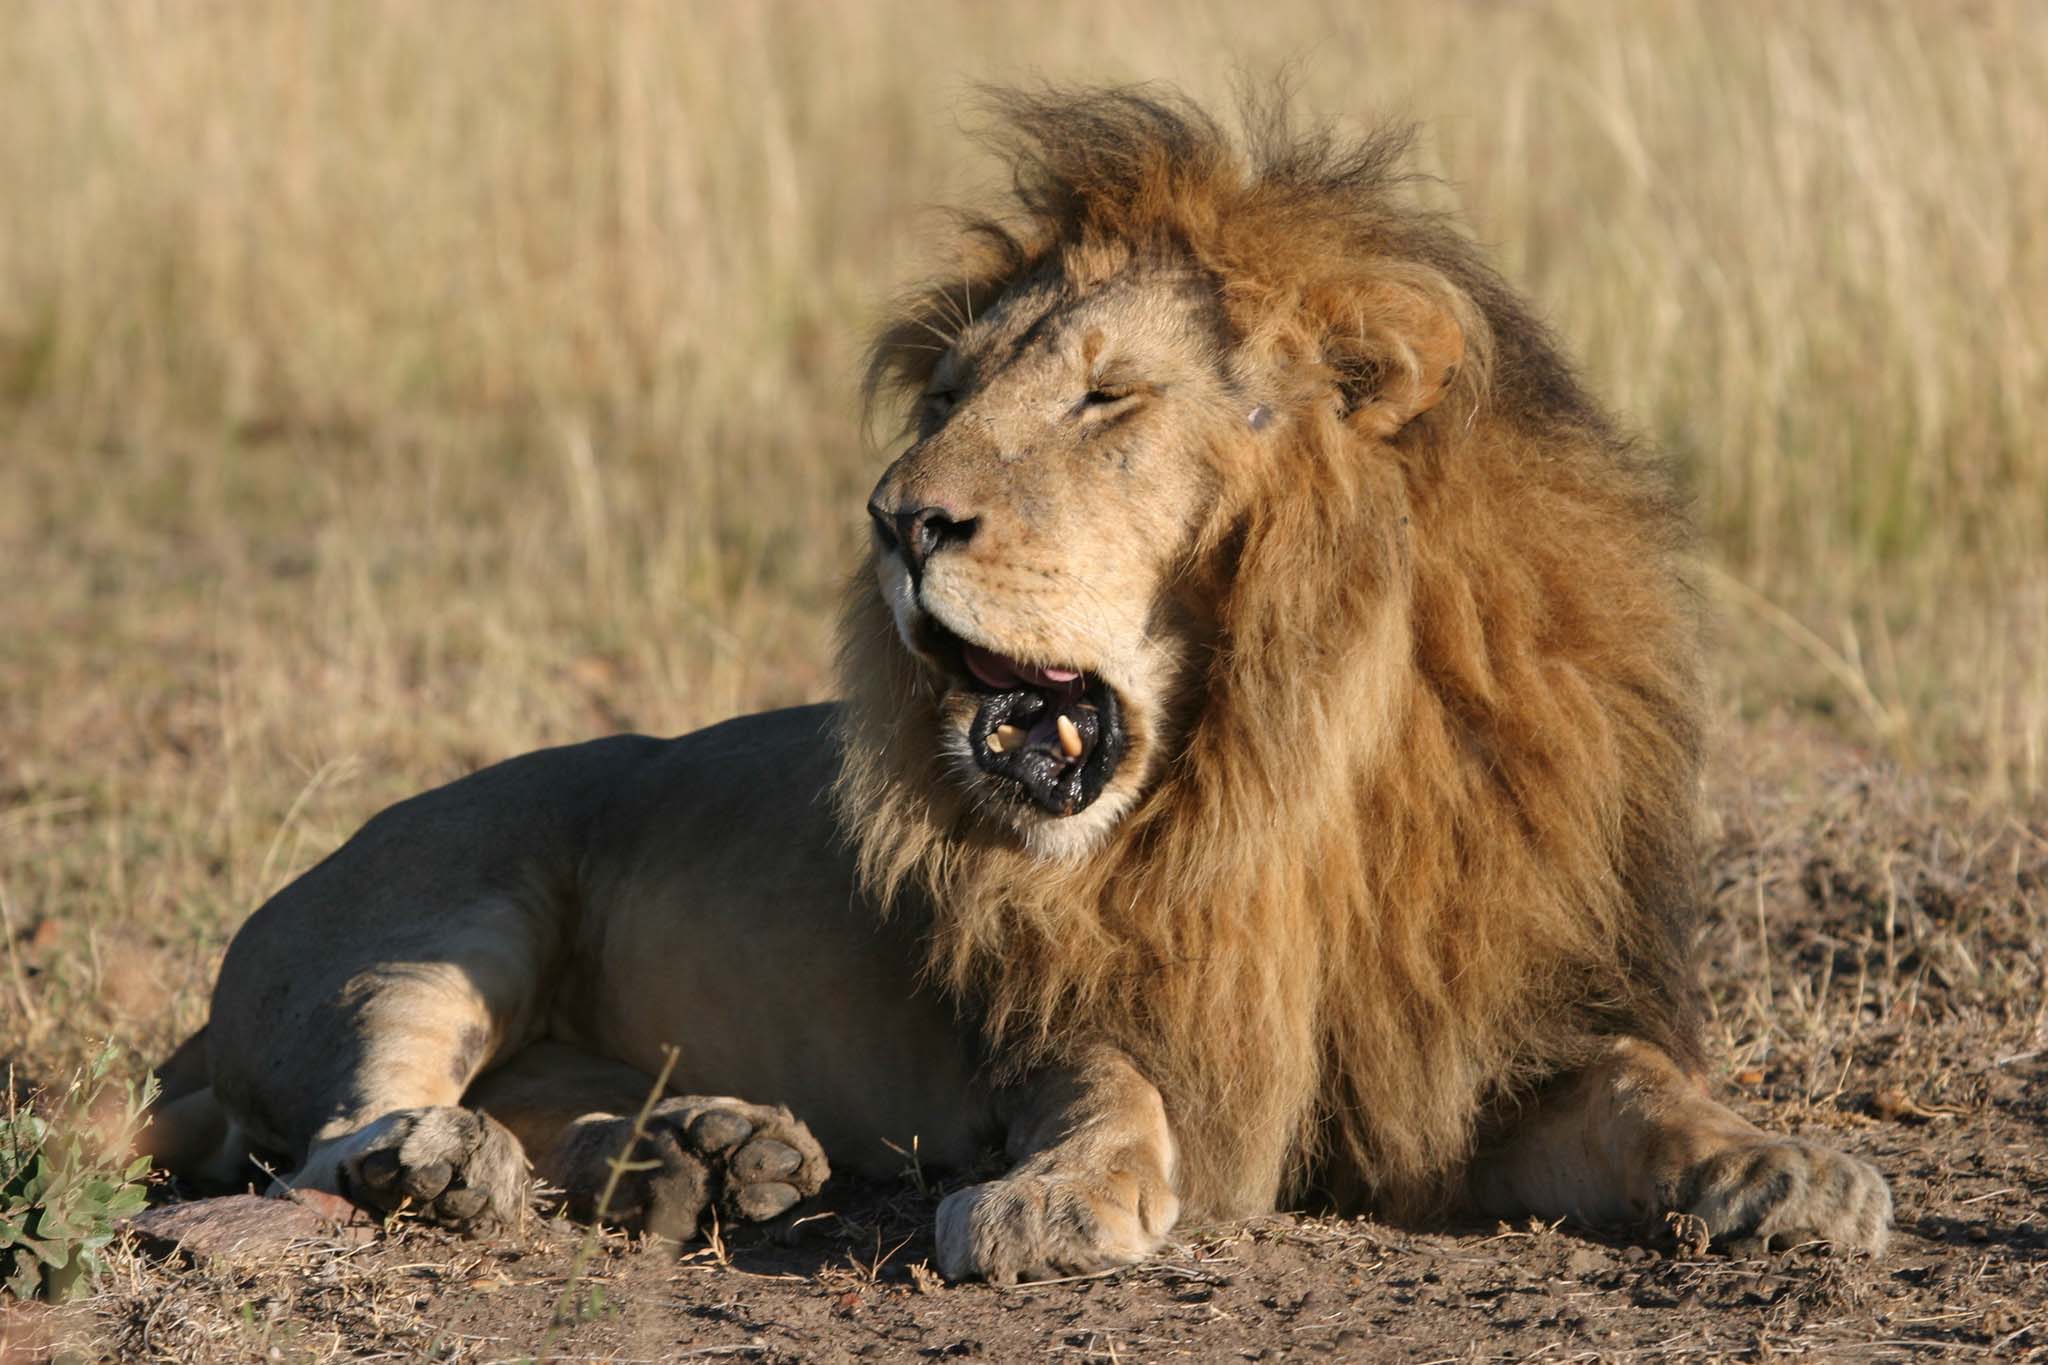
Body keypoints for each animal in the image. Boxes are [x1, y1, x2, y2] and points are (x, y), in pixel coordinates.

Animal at [145, 88, 1891, 1281]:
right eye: (951, 396)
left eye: (1109, 399)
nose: (897, 518)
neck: (1291, 773)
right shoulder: (1071, 1014)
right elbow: (1108, 1086)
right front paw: (1057, 1202)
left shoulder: (1482, 1031)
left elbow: (1643, 1085)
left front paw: (1787, 1169)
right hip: (455, 896)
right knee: (353, 1120)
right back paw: (457, 1172)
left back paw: (705, 1158)